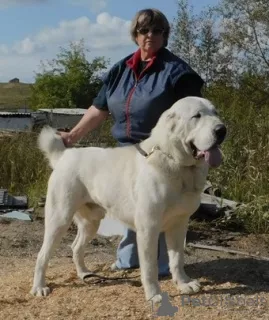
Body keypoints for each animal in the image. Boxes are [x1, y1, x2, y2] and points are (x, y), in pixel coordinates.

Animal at [30, 96, 225, 304]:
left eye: (215, 113)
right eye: (197, 116)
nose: (222, 130)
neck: (175, 163)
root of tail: (64, 155)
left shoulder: (179, 225)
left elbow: (177, 259)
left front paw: (183, 283)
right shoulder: (148, 228)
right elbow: (150, 267)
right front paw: (154, 294)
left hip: (91, 223)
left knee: (76, 248)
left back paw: (84, 273)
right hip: (59, 219)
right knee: (42, 255)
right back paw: (39, 287)